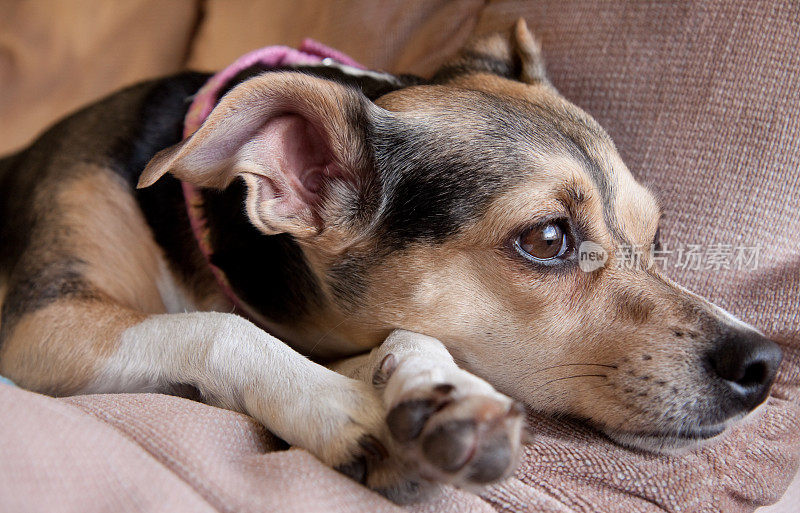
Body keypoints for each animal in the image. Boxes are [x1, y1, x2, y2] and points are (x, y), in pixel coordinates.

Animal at [0, 20, 780, 500]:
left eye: (658, 236)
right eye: (547, 239)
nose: (765, 363)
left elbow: (407, 336)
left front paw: (442, 390)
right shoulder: (40, 327)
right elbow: (219, 327)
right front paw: (336, 405)